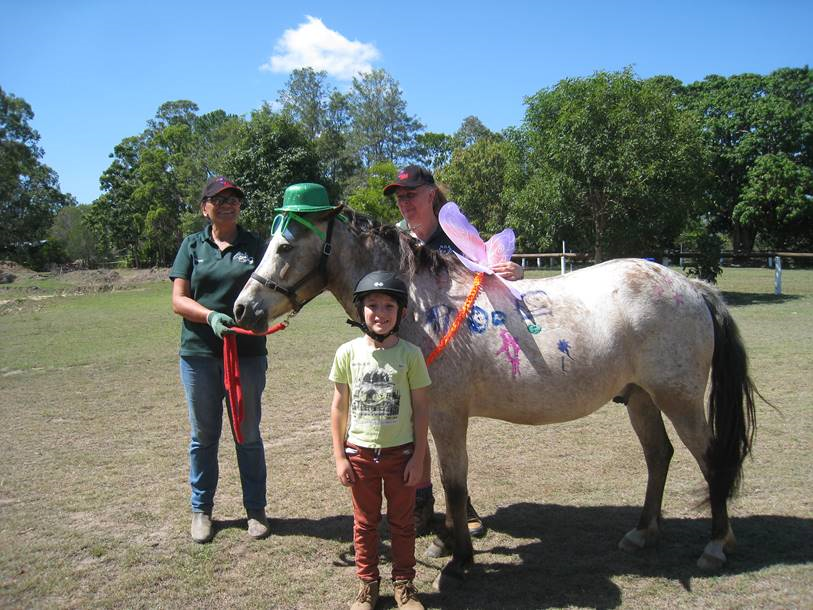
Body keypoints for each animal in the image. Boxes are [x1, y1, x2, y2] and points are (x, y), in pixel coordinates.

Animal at [233, 206, 757, 589]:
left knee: (712, 461)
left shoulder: (448, 416)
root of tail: (692, 286)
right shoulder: (430, 415)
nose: (242, 309)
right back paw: (643, 532)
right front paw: (446, 541)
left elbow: (454, 484)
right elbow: (440, 481)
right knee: (659, 456)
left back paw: (716, 545)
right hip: (643, 399)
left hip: (679, 399)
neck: (422, 305)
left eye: (284, 246)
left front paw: (459, 561)